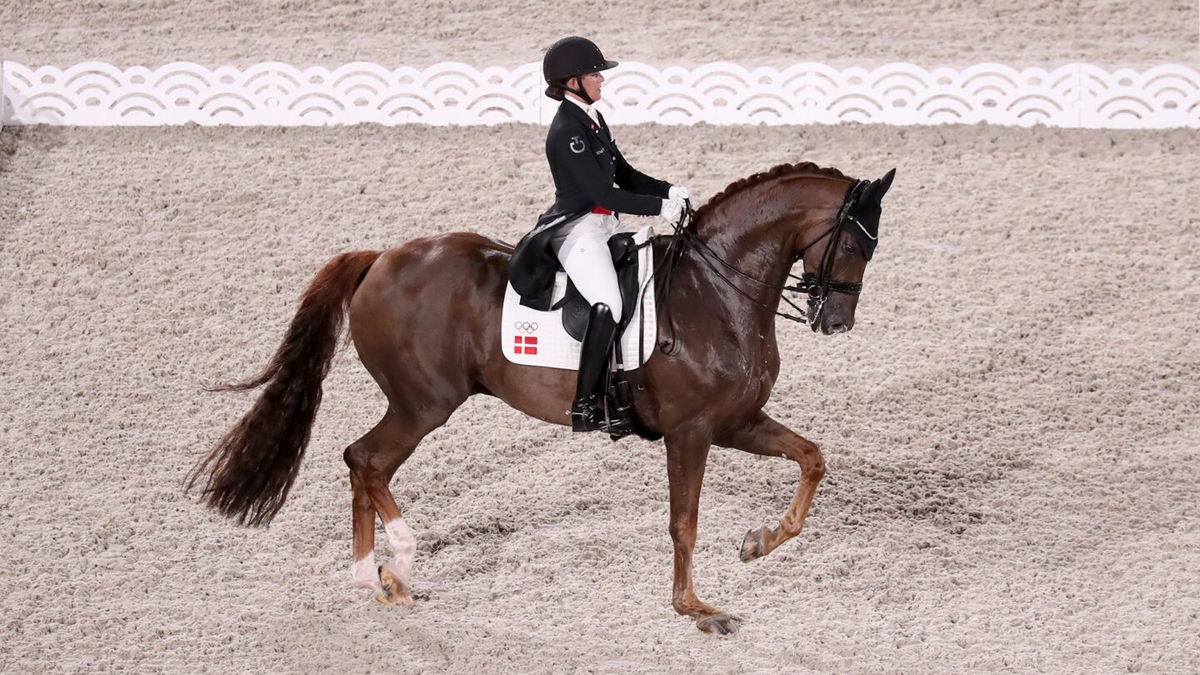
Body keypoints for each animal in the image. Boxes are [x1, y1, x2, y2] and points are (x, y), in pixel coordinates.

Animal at [187, 159, 897, 634]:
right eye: (854, 241)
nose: (837, 322)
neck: (716, 293)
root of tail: (382, 257)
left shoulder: (736, 421)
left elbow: (812, 459)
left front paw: (757, 543)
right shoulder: (692, 431)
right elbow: (684, 522)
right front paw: (695, 608)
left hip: (419, 405)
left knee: (364, 462)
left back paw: (378, 579)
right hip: (424, 404)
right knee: (365, 459)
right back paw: (393, 568)